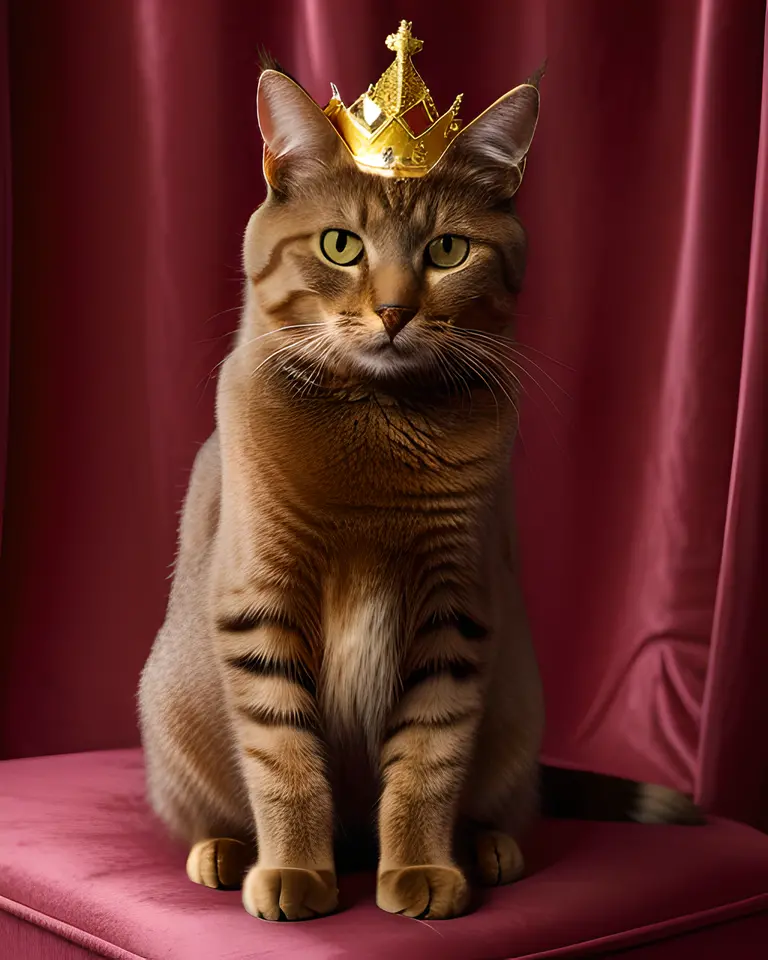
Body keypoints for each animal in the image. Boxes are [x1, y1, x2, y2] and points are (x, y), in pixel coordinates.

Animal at [138, 60, 704, 924]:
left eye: (447, 250)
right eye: (341, 245)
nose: (395, 311)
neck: (378, 422)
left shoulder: (453, 609)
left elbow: (429, 759)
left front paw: (421, 869)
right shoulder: (261, 599)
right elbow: (284, 757)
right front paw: (294, 871)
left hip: (518, 711)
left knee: (501, 800)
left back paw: (490, 849)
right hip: (169, 712)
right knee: (214, 808)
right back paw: (226, 854)